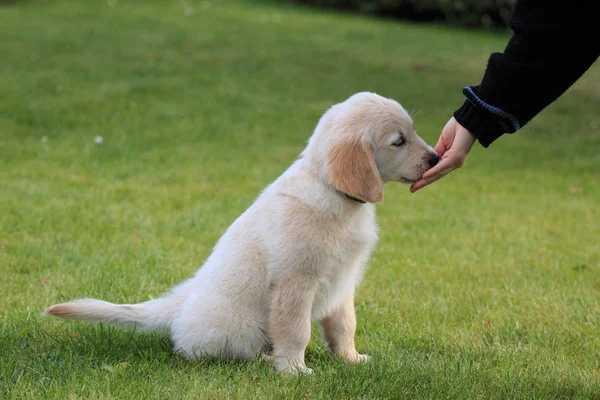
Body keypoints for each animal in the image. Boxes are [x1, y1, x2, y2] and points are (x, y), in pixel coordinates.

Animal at [42, 92, 436, 374]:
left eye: (413, 132)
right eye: (398, 141)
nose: (434, 158)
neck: (331, 191)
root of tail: (178, 306)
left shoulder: (342, 283)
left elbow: (343, 327)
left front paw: (350, 360)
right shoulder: (296, 283)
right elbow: (296, 331)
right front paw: (294, 371)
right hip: (243, 328)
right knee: (227, 354)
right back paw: (267, 360)